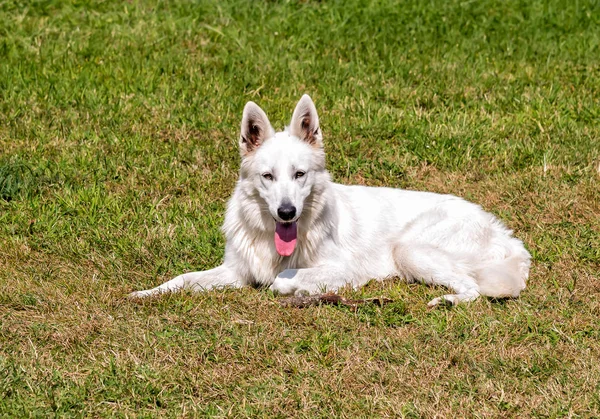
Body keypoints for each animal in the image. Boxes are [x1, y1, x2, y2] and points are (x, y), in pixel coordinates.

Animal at [131, 95, 528, 306]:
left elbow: (282, 279)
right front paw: (147, 292)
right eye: (268, 176)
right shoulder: (236, 271)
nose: (286, 212)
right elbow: (183, 278)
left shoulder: (343, 268)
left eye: (300, 174)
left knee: (473, 289)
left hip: (410, 249)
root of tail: (503, 232)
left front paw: (301, 288)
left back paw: (445, 302)